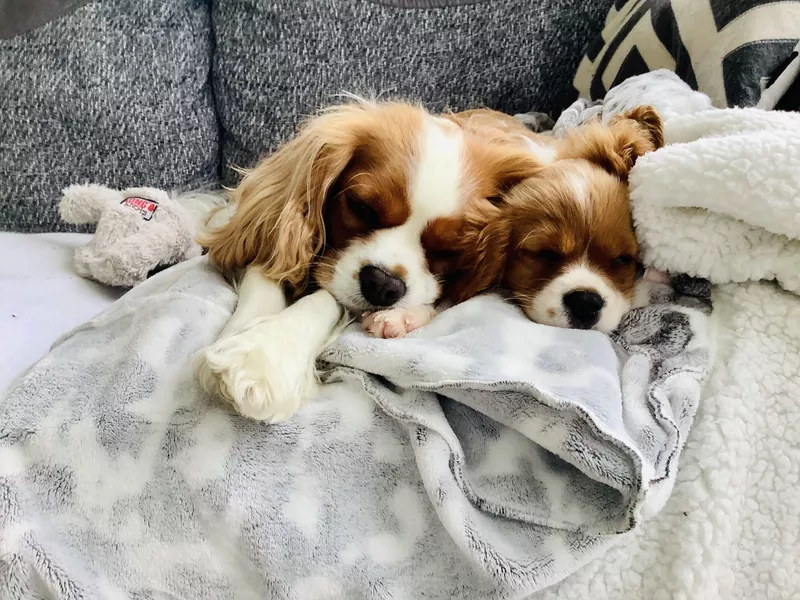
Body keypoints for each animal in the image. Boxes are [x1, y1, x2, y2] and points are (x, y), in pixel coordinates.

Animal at [195, 98, 544, 422]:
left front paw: (262, 358)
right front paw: (239, 342)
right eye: (361, 207)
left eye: (449, 248)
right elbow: (267, 270)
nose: (383, 285)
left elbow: (326, 300)